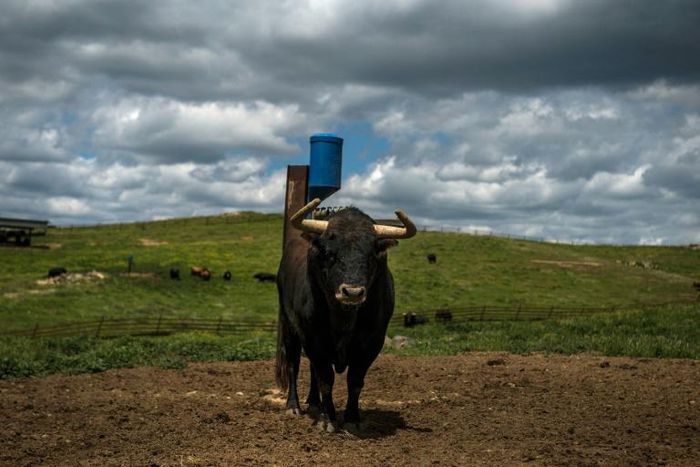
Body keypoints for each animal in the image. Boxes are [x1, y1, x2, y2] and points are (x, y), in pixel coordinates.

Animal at [276, 198, 416, 433]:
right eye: (330, 254)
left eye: (371, 255)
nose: (352, 292)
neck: (344, 318)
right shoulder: (314, 339)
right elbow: (326, 379)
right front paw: (328, 420)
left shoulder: (371, 342)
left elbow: (355, 380)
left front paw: (351, 419)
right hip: (289, 327)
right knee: (294, 363)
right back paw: (294, 406)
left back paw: (314, 404)